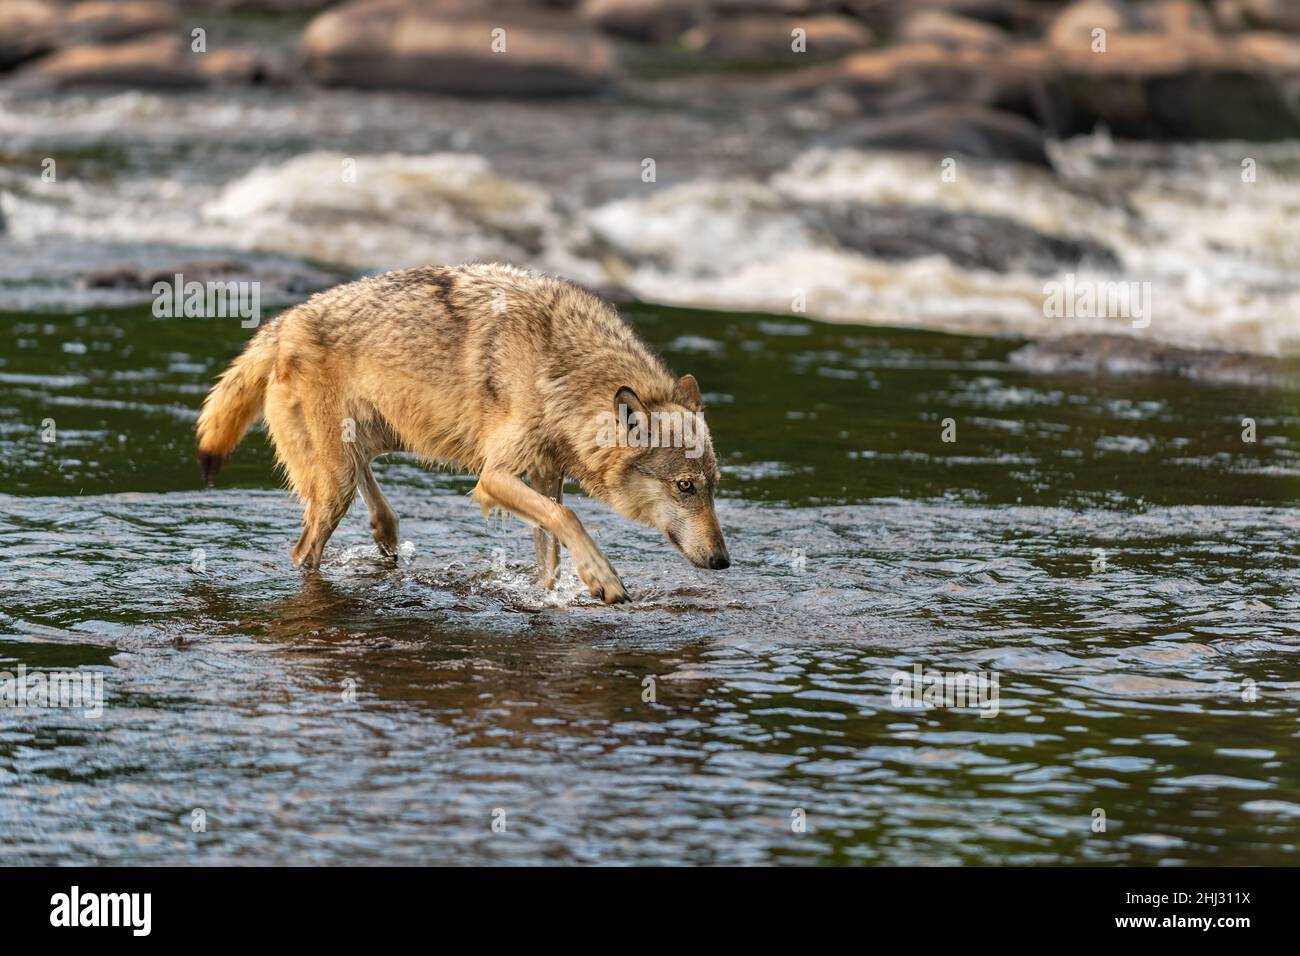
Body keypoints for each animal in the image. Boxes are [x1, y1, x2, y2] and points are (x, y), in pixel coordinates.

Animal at [194, 263, 730, 604]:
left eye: (713, 488)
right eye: (685, 487)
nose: (724, 560)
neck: (563, 373)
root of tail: (282, 322)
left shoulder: (546, 478)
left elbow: (551, 552)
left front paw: (553, 596)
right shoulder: (494, 477)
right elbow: (570, 518)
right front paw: (603, 579)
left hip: (366, 450)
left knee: (376, 505)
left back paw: (385, 533)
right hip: (334, 486)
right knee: (304, 551)